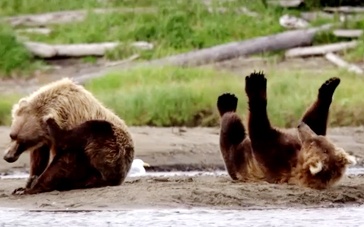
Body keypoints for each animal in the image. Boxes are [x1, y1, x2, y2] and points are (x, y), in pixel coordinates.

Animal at [216, 72, 356, 190]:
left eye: (312, 141)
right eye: (318, 137)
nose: (300, 125)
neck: (297, 156)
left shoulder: (277, 160)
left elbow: (260, 132)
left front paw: (256, 83)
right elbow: (314, 121)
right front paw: (330, 85)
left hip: (237, 157)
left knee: (231, 126)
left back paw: (227, 104)